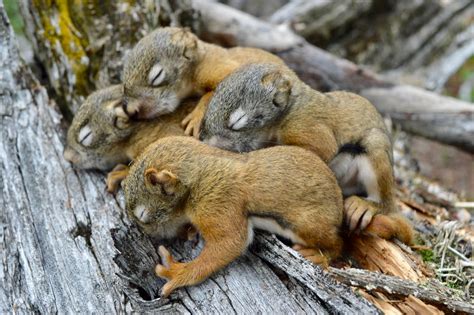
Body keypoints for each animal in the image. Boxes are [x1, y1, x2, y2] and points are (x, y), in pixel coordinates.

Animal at [120, 26, 286, 137]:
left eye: (157, 76)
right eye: (123, 84)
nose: (132, 111)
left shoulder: (216, 69)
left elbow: (212, 93)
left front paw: (195, 118)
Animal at [122, 137, 344, 298]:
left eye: (143, 215)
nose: (147, 235)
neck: (199, 174)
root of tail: (338, 202)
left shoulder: (216, 201)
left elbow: (231, 241)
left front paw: (178, 272)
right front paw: (190, 230)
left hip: (307, 225)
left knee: (337, 244)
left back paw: (319, 255)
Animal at [200, 63, 414, 244]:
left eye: (237, 121)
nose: (206, 142)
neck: (290, 109)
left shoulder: (304, 126)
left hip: (376, 154)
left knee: (384, 202)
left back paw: (367, 206)